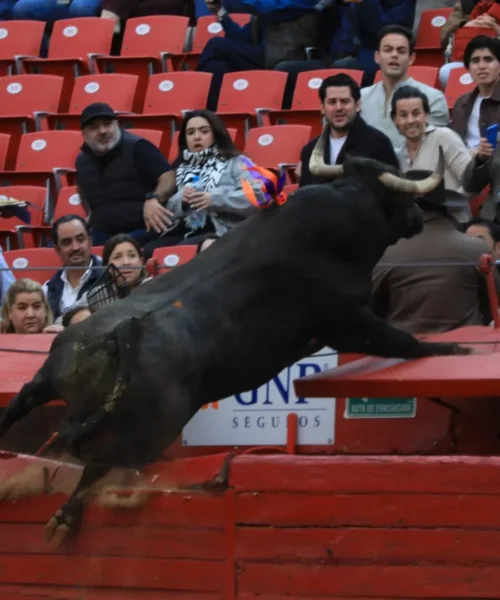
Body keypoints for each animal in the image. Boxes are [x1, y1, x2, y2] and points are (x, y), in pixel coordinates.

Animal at [0, 151, 472, 544]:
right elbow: (404, 341)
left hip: (46, 379)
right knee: (100, 466)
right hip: (150, 430)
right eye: (397, 195)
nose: (419, 216)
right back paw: (64, 519)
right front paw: (454, 351)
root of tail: (117, 337)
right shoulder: (348, 319)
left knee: (22, 406)